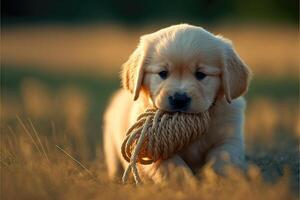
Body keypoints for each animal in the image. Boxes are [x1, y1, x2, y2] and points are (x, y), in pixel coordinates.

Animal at [103, 23, 251, 183]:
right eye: (163, 73)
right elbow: (175, 167)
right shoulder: (150, 147)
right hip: (111, 148)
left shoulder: (230, 138)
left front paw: (217, 181)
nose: (179, 99)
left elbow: (222, 159)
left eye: (200, 74)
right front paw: (187, 183)